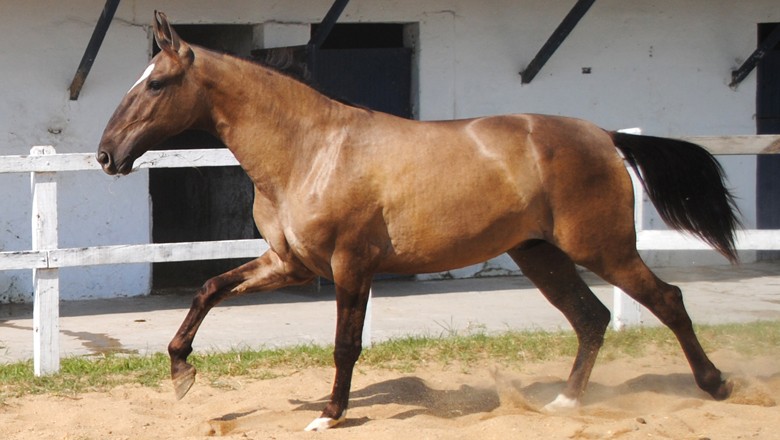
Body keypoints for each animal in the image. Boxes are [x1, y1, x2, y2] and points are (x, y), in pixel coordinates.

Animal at [99, 12, 744, 432]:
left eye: (157, 83)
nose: (107, 155)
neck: (311, 149)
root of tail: (605, 136)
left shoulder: (350, 264)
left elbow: (346, 344)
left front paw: (330, 414)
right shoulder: (290, 264)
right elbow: (209, 288)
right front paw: (181, 370)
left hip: (602, 248)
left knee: (666, 300)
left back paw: (717, 385)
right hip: (540, 252)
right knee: (592, 317)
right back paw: (564, 405)